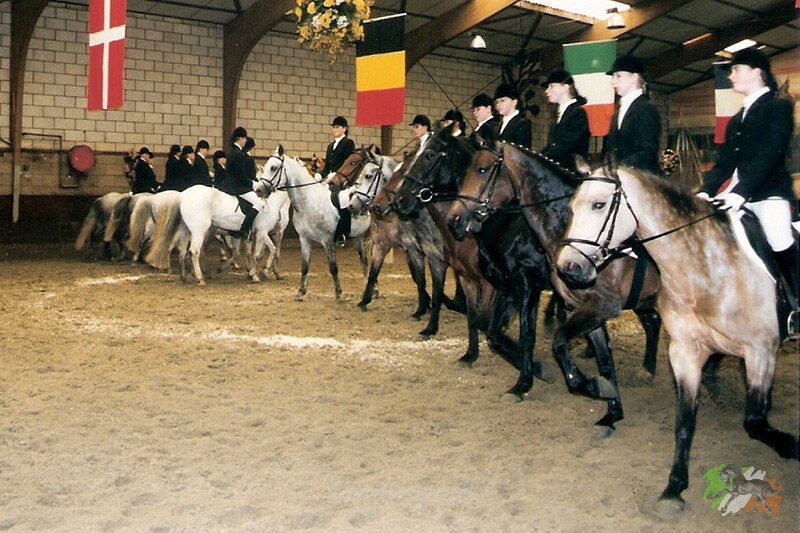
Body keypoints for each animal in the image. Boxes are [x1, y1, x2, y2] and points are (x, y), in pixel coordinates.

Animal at [259, 146, 370, 301]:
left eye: (273, 167)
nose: (258, 189)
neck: (308, 202)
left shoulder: (327, 241)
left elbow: (333, 268)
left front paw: (338, 293)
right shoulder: (305, 239)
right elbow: (305, 266)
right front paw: (301, 292)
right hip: (358, 237)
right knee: (363, 261)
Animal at [392, 129, 554, 388]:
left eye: (429, 155)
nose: (399, 200)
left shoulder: (493, 284)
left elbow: (484, 321)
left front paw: (533, 366)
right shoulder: (466, 276)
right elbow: (472, 318)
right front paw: (470, 354)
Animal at [555, 160, 798, 512]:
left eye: (599, 205)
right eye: (572, 207)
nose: (568, 268)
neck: (704, 271)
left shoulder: (761, 352)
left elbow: (755, 421)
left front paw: (789, 444)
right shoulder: (685, 353)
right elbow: (684, 422)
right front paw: (674, 488)